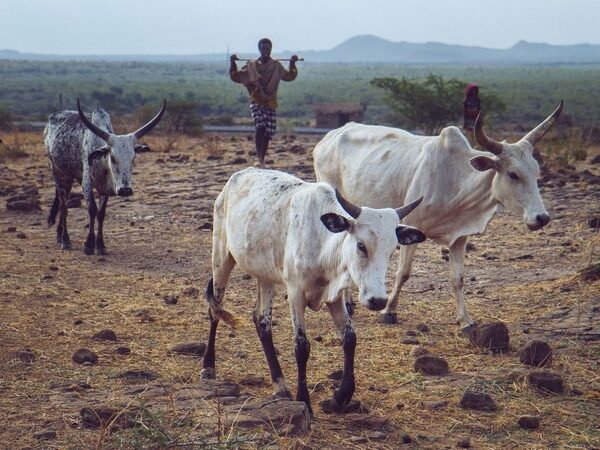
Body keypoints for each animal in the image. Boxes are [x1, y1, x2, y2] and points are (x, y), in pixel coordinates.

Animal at [42, 100, 165, 255]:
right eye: (112, 157)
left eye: (133, 157)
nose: (125, 190)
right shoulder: (87, 183)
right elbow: (92, 210)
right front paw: (89, 245)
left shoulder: (106, 188)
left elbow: (101, 213)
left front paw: (100, 245)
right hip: (58, 172)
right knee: (63, 205)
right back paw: (65, 240)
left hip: (70, 176)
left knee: (62, 202)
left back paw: (59, 234)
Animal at [199, 169, 424, 414]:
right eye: (361, 245)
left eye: (392, 250)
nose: (378, 300)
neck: (322, 242)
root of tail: (238, 176)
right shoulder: (295, 293)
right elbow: (302, 346)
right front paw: (305, 401)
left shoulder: (335, 297)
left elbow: (350, 338)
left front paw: (340, 397)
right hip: (221, 258)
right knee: (215, 309)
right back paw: (208, 366)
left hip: (265, 276)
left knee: (262, 322)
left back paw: (280, 385)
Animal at [314, 103, 564, 332]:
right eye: (513, 174)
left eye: (536, 172)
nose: (542, 218)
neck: (455, 181)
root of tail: (329, 136)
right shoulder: (411, 227)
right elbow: (403, 273)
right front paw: (389, 311)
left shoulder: (459, 237)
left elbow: (458, 278)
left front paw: (465, 321)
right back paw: (347, 302)